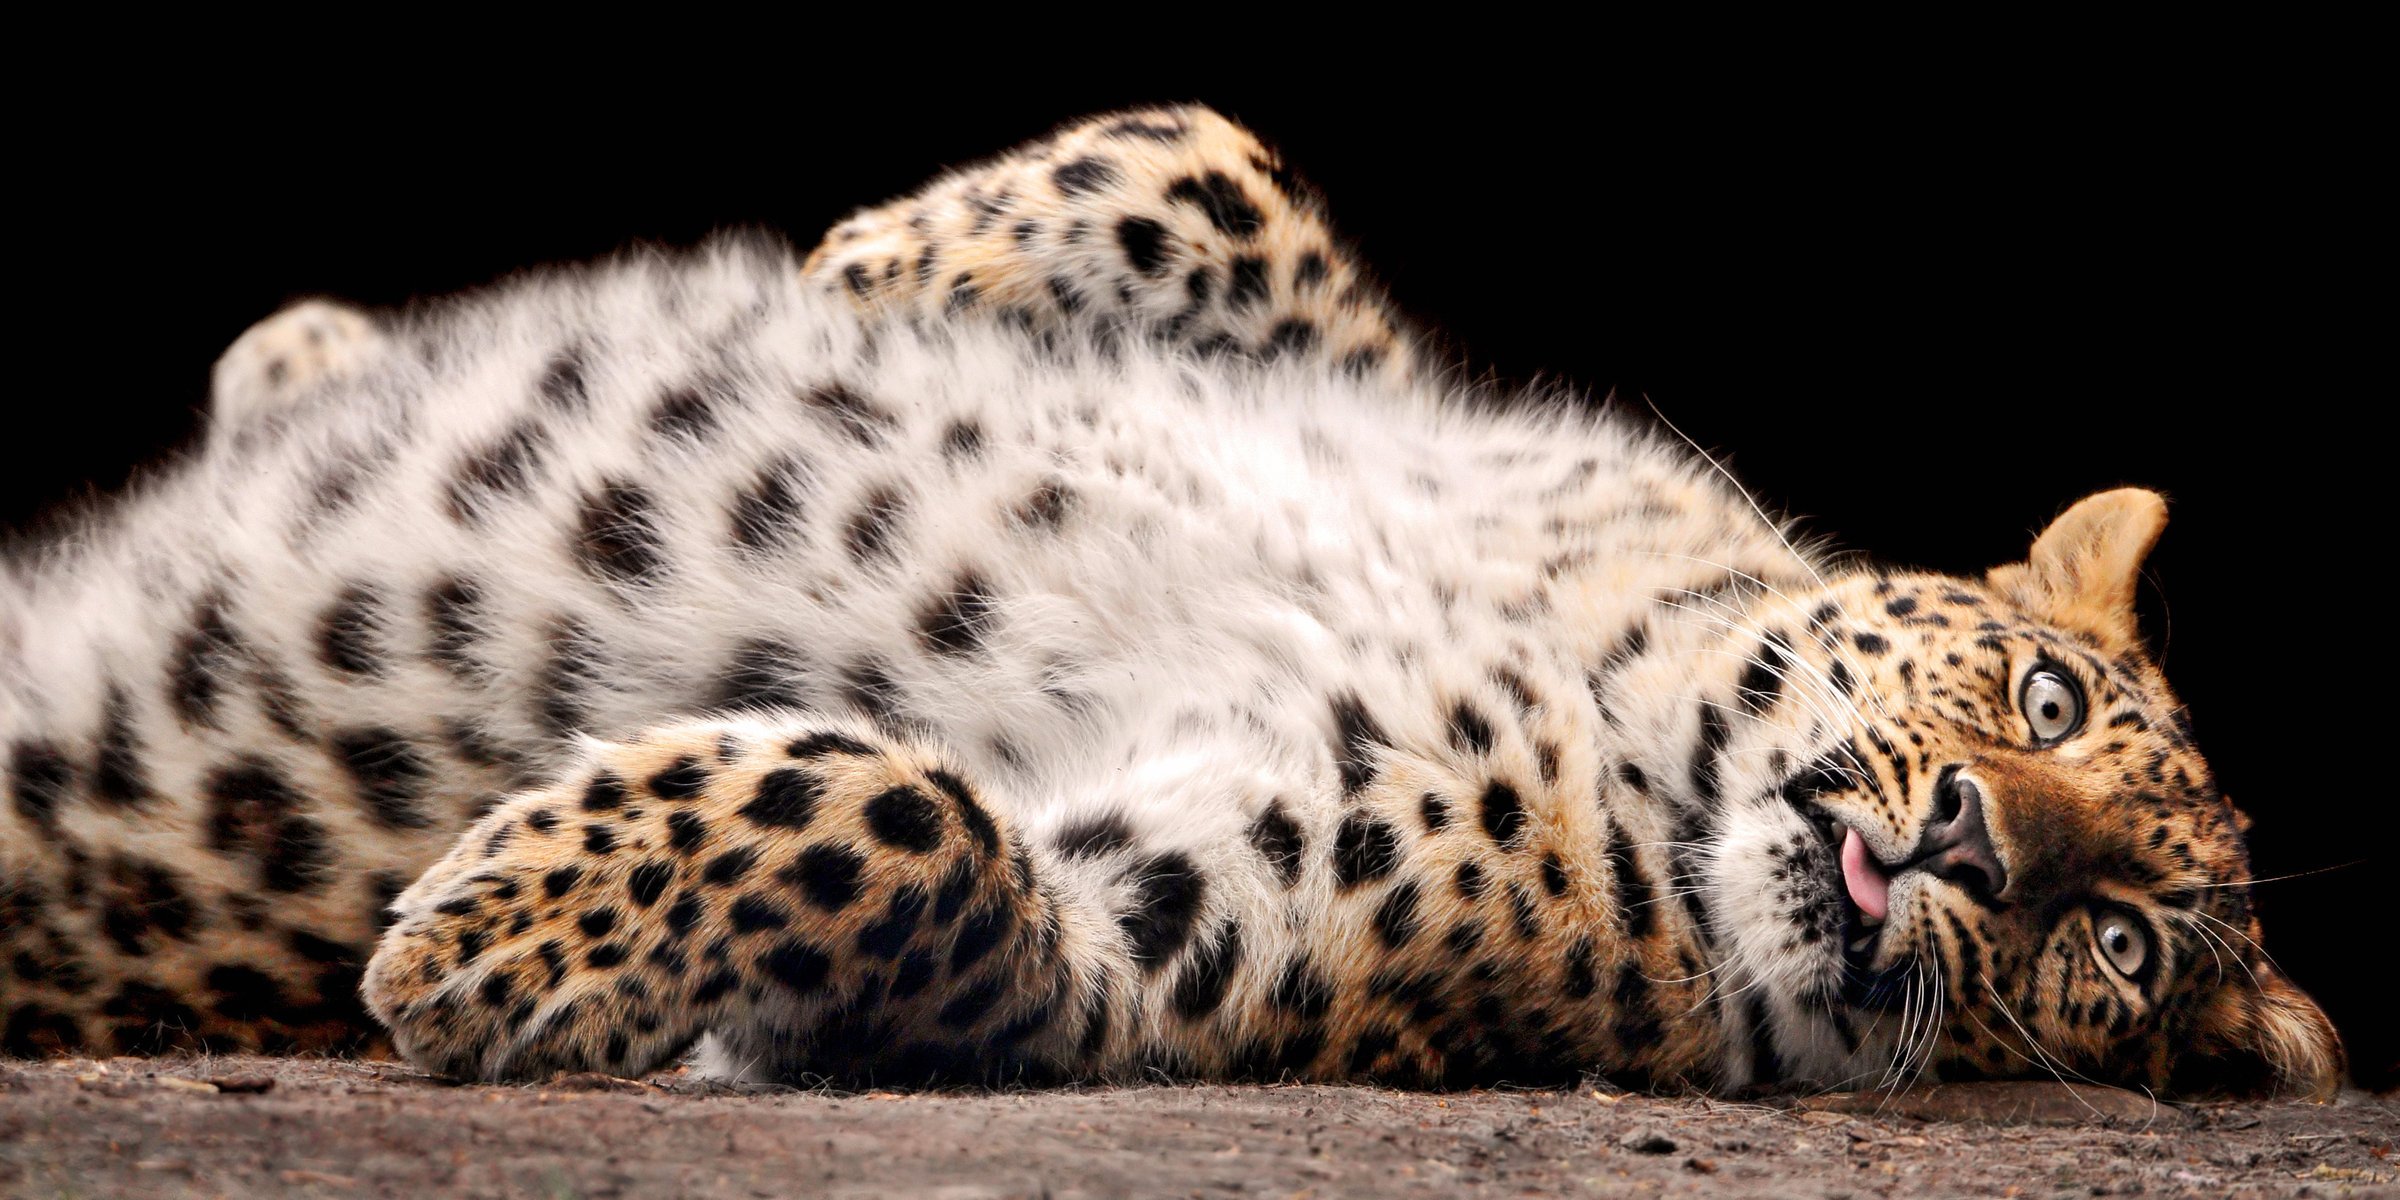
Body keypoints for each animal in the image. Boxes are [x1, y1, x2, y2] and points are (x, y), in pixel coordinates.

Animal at [0, 105, 2340, 1099]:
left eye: (2116, 950)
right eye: (2042, 699)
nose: (1970, 843)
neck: (1633, 702)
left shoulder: (1177, 947)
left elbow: (918, 828)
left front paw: (506, 932)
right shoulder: (1394, 386)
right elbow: (1216, 163)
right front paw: (880, 277)